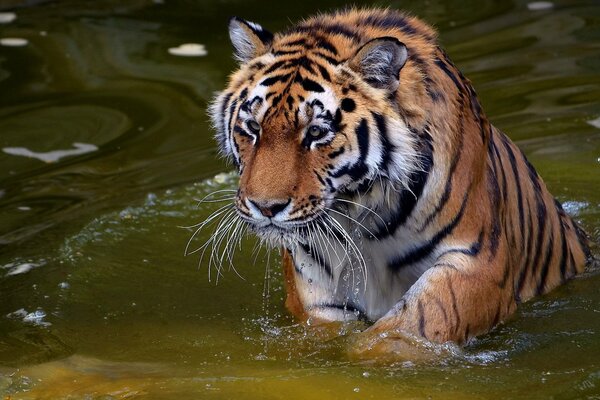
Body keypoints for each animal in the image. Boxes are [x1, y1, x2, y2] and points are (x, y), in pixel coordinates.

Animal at [209, 7, 592, 354]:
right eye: (253, 128)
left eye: (316, 132)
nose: (265, 208)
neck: (363, 217)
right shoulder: (316, 283)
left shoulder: (477, 260)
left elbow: (415, 322)